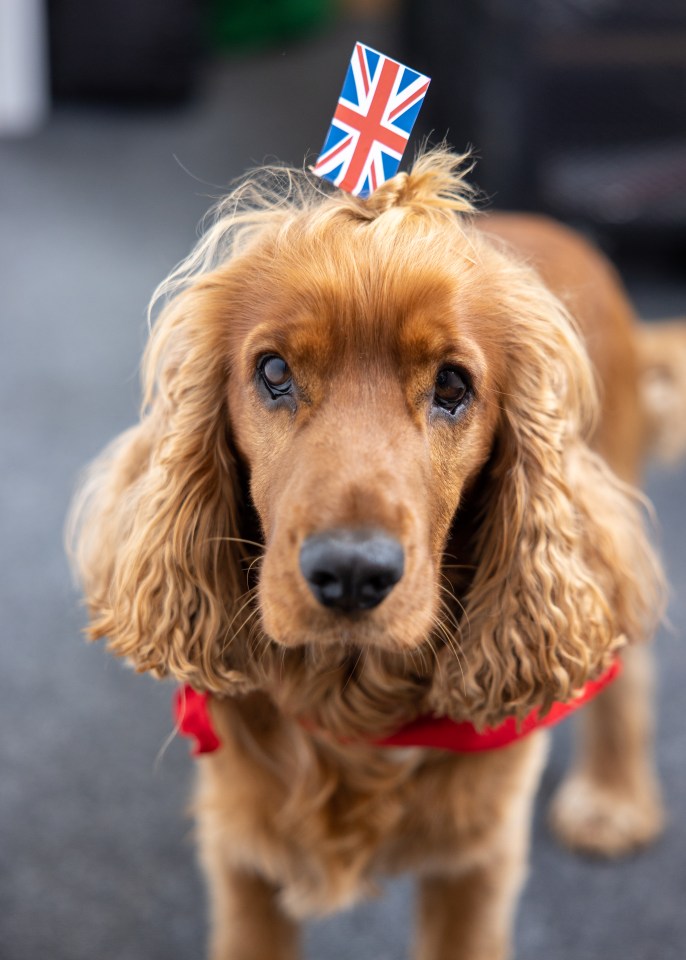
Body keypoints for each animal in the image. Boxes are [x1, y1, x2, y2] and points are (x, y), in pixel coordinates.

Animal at [68, 146, 686, 956]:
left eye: (452, 385)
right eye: (274, 372)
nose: (354, 574)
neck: (352, 702)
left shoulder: (478, 863)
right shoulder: (241, 852)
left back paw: (613, 798)